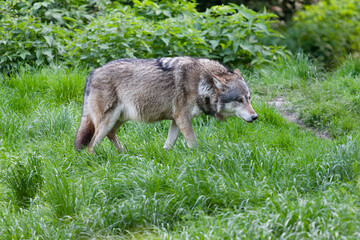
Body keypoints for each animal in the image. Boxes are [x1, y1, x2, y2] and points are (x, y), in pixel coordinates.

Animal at [74, 57, 258, 153]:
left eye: (249, 98)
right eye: (239, 100)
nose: (255, 116)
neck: (200, 83)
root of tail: (91, 73)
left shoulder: (176, 120)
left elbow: (169, 144)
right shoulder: (183, 118)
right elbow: (193, 142)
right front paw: (199, 157)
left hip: (119, 119)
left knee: (111, 135)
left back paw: (124, 153)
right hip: (108, 120)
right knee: (91, 146)